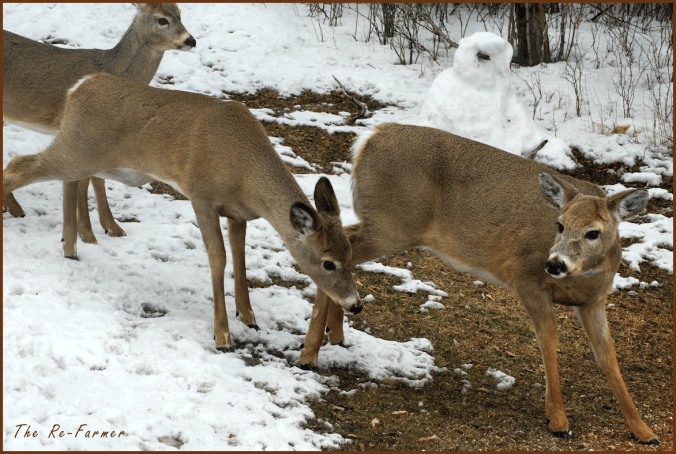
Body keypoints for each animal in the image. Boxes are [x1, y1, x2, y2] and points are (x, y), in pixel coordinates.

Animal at [3, 3, 195, 246]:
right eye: (162, 19)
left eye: (180, 13)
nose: (191, 40)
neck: (114, 69)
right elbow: (85, 180)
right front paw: (88, 234)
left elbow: (97, 179)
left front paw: (112, 227)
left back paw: (14, 207)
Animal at [3, 73, 363, 350]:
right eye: (328, 263)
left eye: (350, 254)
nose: (356, 305)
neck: (244, 172)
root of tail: (79, 86)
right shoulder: (202, 195)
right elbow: (218, 257)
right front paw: (222, 335)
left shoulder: (238, 212)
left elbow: (240, 255)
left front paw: (248, 315)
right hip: (76, 148)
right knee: (18, 164)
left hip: (83, 155)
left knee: (63, 181)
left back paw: (70, 247)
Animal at [298, 123, 659, 445]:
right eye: (559, 225)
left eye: (593, 232)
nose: (554, 263)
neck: (585, 278)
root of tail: (368, 139)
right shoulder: (525, 276)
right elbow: (549, 337)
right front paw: (558, 420)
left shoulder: (594, 301)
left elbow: (608, 355)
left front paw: (643, 430)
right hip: (392, 224)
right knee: (338, 252)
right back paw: (310, 352)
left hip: (387, 224)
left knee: (342, 246)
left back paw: (337, 333)